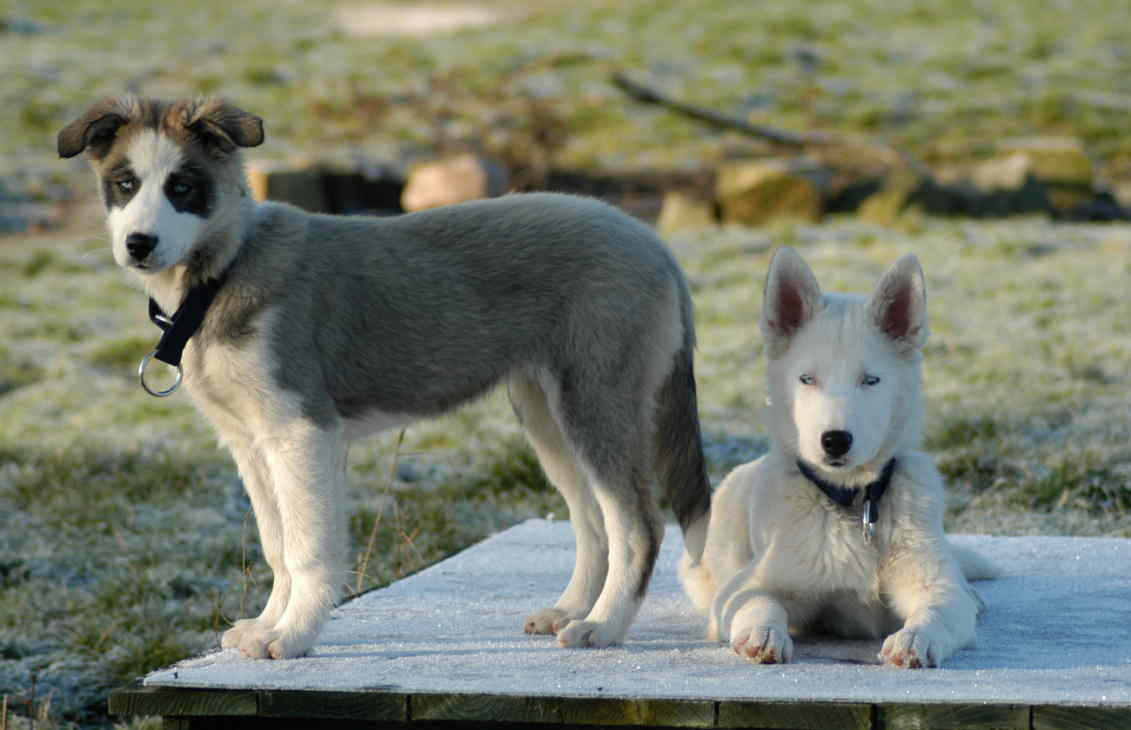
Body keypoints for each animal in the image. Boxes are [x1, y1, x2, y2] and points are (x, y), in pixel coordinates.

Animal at [57, 93, 710, 656]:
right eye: (124, 184)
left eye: (183, 187)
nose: (139, 244)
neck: (226, 271)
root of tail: (652, 243)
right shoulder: (250, 440)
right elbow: (278, 545)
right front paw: (268, 624)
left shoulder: (302, 430)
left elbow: (309, 548)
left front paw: (293, 636)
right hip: (547, 413)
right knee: (594, 520)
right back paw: (572, 609)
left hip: (595, 399)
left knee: (637, 524)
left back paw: (604, 625)